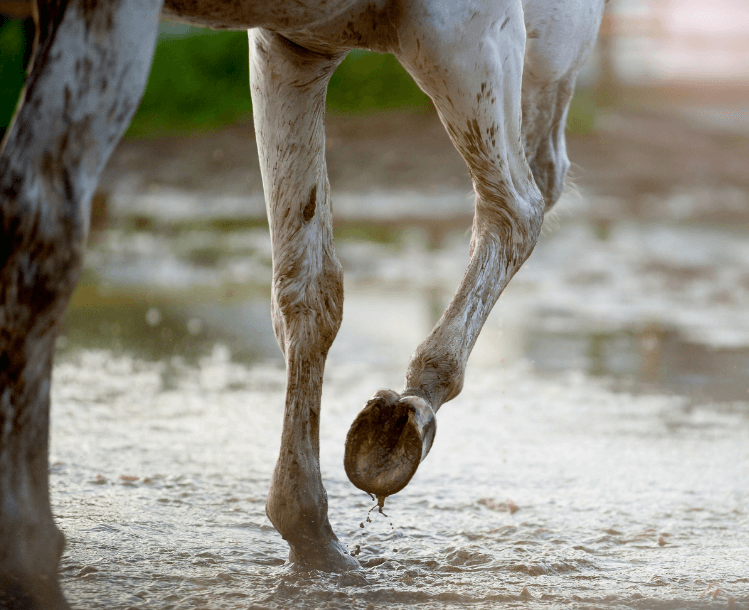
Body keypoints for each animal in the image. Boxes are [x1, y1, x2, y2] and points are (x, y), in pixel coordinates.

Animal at [0, 0, 605, 606]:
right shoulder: (442, 26)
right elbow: (511, 214)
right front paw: (403, 418)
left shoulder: (300, 46)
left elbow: (310, 288)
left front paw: (314, 530)